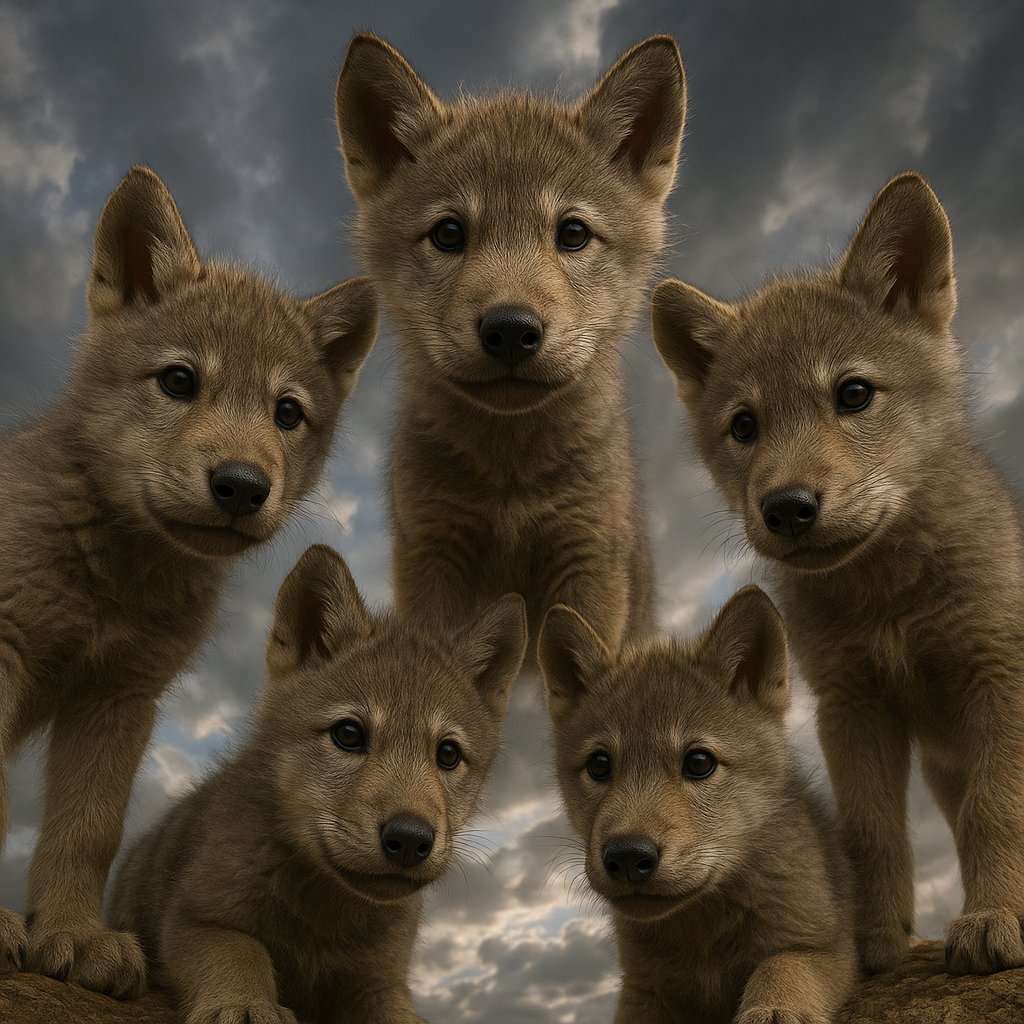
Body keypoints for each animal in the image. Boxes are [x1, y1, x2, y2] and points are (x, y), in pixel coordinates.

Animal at [0, 166, 377, 996]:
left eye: (287, 413)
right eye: (178, 380)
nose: (241, 486)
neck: (112, 574)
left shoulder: (119, 695)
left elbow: (88, 830)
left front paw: (74, 934)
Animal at [107, 544, 526, 1024]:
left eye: (448, 754)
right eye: (348, 734)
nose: (409, 839)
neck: (326, 916)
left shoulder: (380, 982)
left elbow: (400, 1014)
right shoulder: (196, 918)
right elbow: (242, 952)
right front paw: (246, 1004)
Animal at [333, 33, 687, 654]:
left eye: (573, 233)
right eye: (449, 232)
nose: (511, 330)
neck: (510, 480)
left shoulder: (586, 561)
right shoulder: (433, 558)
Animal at [538, 586, 856, 1023]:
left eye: (699, 762)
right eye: (599, 765)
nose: (627, 857)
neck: (703, 928)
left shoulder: (823, 947)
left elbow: (781, 967)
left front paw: (774, 1007)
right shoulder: (643, 989)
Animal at [651, 171, 1024, 976]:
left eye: (853, 393)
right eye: (744, 426)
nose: (787, 507)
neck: (890, 600)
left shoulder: (999, 675)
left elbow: (998, 810)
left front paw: (996, 919)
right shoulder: (852, 704)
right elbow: (871, 832)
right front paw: (873, 942)